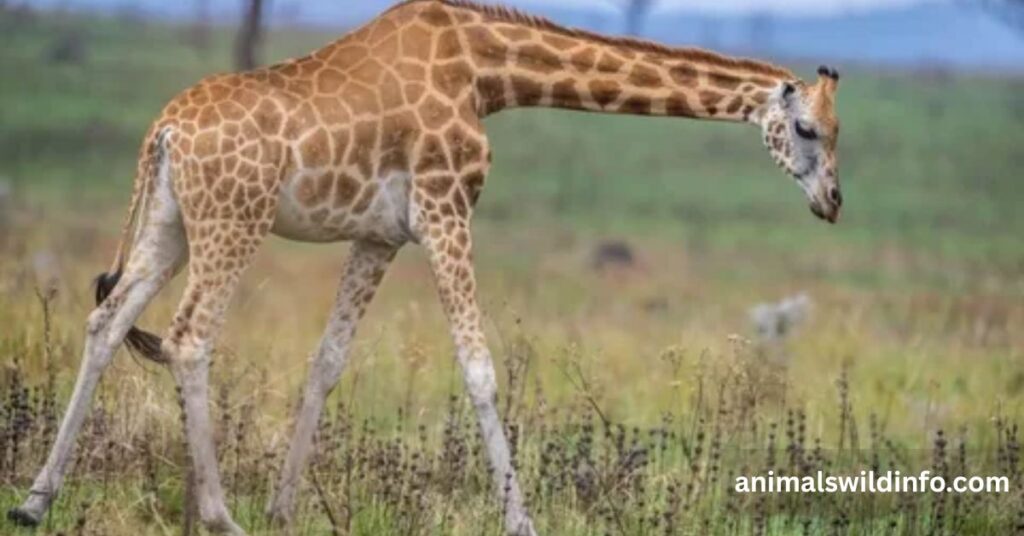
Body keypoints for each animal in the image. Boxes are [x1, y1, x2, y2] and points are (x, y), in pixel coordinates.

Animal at [10, 1, 842, 534]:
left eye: (838, 134)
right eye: (806, 129)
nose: (833, 202)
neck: (489, 70)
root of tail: (164, 132)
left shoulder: (380, 236)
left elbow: (327, 360)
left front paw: (284, 508)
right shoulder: (446, 209)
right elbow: (479, 367)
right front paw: (522, 521)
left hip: (170, 224)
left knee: (107, 319)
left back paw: (35, 500)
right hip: (232, 221)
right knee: (187, 338)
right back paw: (217, 517)